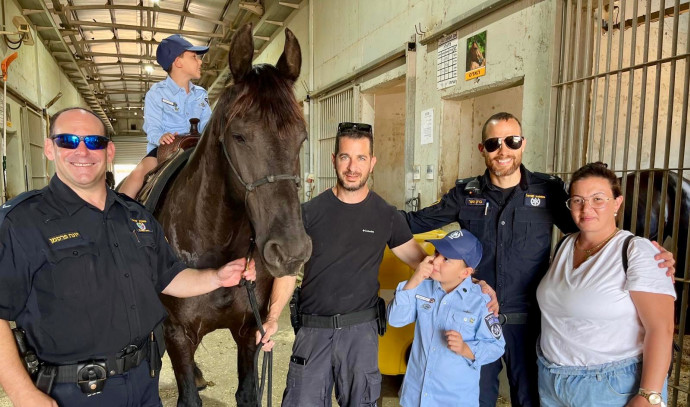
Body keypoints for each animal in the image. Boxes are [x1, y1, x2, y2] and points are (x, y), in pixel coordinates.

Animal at [153, 23, 312, 406]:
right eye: (239, 136)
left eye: (301, 138)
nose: (291, 251)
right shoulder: (177, 333)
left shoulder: (250, 330)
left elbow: (248, 393)